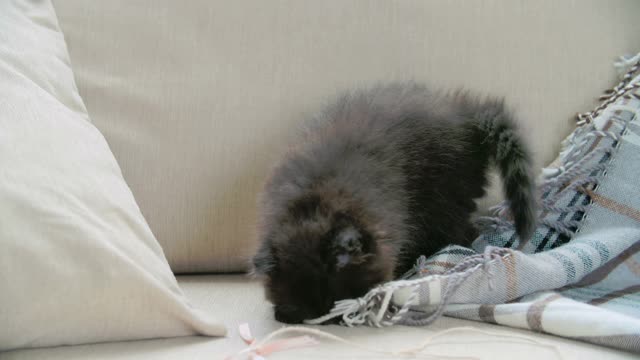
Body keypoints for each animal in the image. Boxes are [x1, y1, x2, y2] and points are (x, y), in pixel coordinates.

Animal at [250, 83, 536, 324]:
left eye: (338, 299)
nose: (331, 319)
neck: (315, 200)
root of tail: (464, 115)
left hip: (445, 201)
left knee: (462, 233)